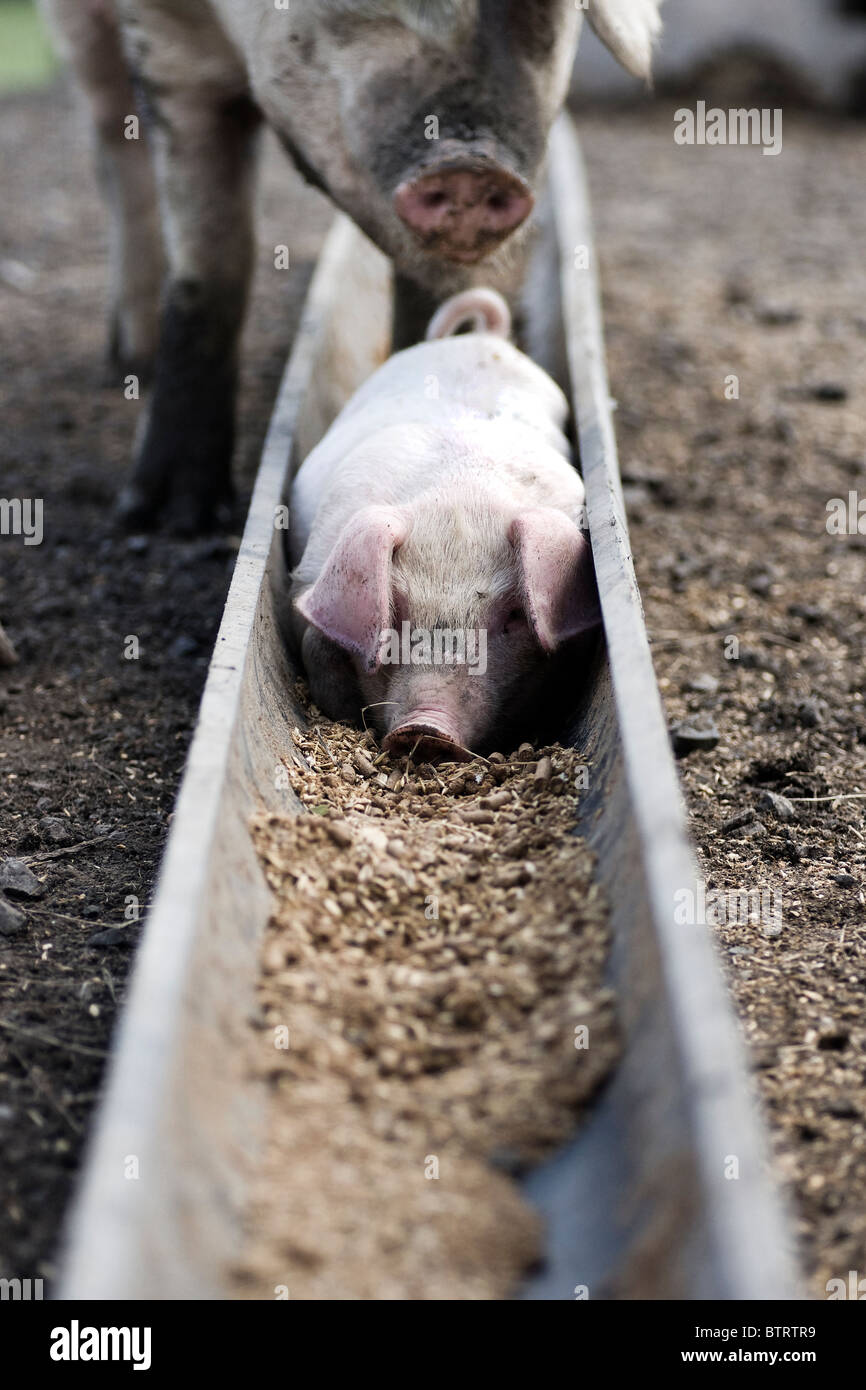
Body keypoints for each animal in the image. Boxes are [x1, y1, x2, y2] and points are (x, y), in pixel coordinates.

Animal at [40, 0, 664, 530]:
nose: (469, 164)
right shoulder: (164, 43)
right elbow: (212, 266)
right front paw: (171, 520)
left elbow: (432, 286)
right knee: (114, 147)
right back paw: (131, 367)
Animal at [291, 286, 603, 756]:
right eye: (394, 609)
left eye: (514, 615)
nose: (426, 727)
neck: (459, 490)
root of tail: (481, 339)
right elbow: (316, 649)